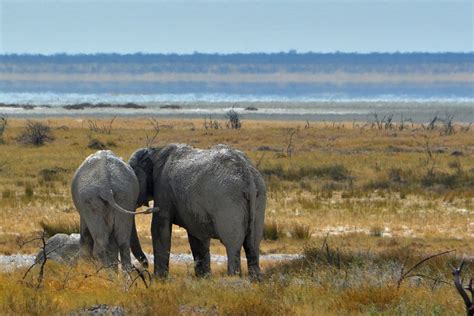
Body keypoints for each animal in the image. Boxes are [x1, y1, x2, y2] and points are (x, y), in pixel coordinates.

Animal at [128, 143, 266, 278]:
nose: (145, 265)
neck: (155, 151)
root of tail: (248, 176)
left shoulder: (163, 190)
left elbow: (159, 228)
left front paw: (159, 278)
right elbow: (196, 235)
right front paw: (203, 277)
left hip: (228, 200)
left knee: (232, 244)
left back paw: (233, 277)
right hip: (259, 197)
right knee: (253, 244)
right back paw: (255, 279)